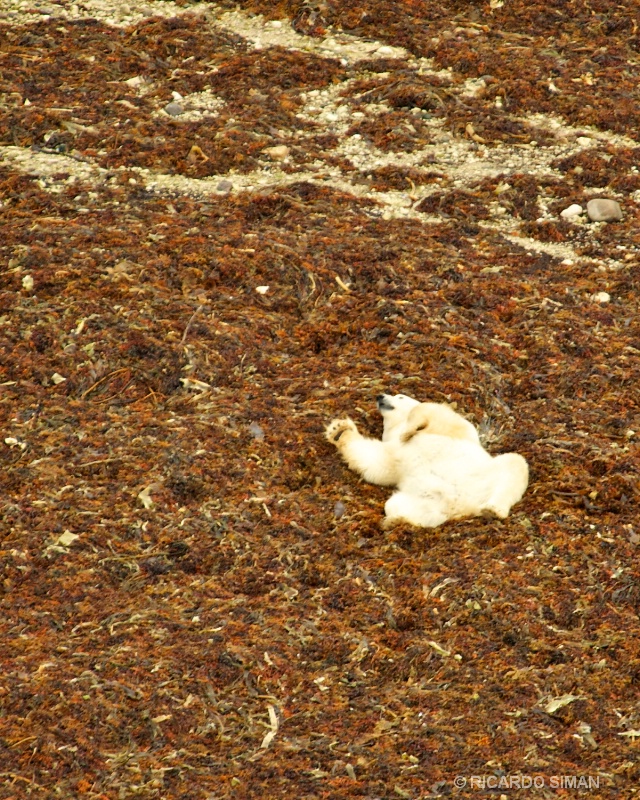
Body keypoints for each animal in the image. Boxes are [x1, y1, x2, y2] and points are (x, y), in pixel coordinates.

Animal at [326, 393, 529, 529]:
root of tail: (463, 508)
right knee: (399, 506)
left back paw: (494, 509)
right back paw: (397, 520)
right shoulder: (394, 454)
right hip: (427, 500)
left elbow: (426, 410)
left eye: (400, 396)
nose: (380, 395)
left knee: (515, 464)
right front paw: (338, 430)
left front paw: (408, 430)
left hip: (484, 476)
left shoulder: (451, 425)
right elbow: (376, 463)